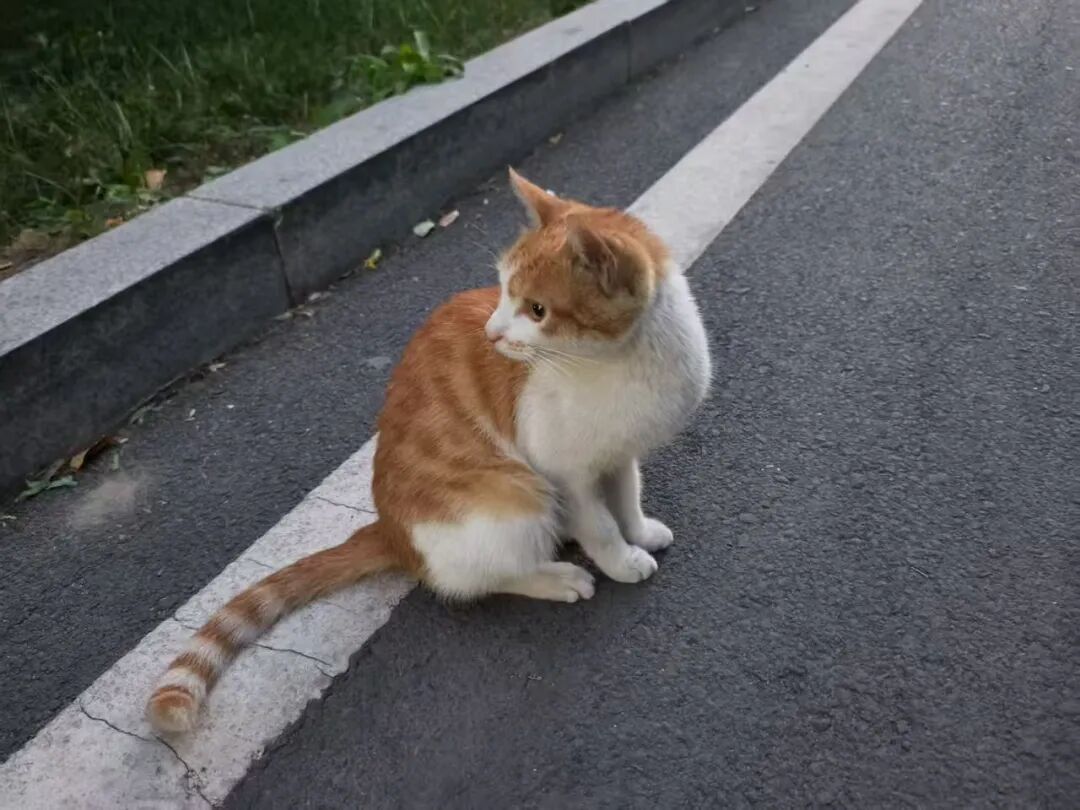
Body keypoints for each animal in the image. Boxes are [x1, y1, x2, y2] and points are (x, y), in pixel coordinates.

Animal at [146, 169, 711, 733]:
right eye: (503, 291)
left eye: (537, 310)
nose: (491, 333)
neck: (625, 362)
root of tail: (392, 532)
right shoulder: (563, 470)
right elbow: (600, 525)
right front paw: (621, 560)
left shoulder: (617, 452)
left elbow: (626, 497)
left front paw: (639, 531)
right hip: (515, 494)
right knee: (477, 575)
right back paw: (558, 577)